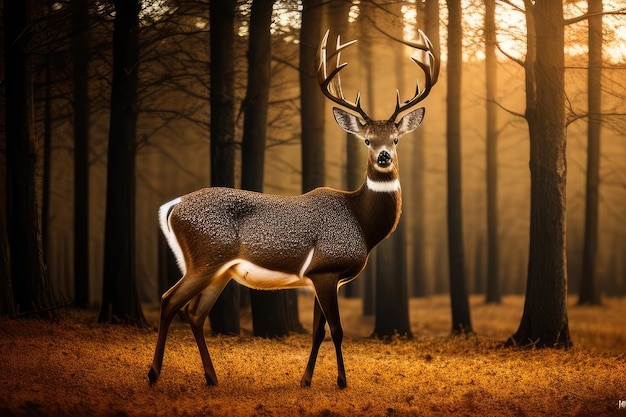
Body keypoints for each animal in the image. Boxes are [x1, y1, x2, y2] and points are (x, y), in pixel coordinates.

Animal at [148, 28, 436, 386]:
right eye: (367, 140)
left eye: (395, 139)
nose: (383, 157)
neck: (362, 224)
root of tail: (173, 206)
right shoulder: (326, 268)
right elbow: (337, 330)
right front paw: (342, 382)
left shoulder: (318, 277)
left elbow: (317, 331)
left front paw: (306, 380)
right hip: (205, 257)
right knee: (168, 301)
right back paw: (153, 373)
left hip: (219, 269)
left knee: (195, 312)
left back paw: (212, 378)